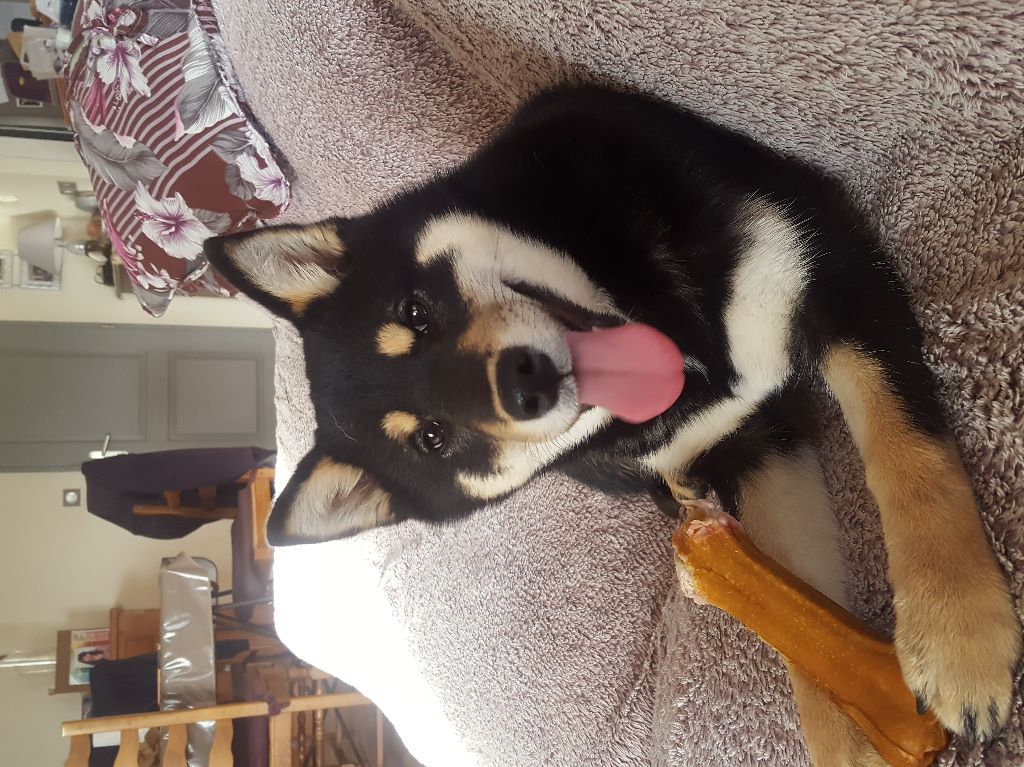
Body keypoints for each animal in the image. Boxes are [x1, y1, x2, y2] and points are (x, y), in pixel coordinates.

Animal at [205, 85, 1021, 765]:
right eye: (435, 439)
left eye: (414, 310)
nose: (524, 383)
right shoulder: (748, 448)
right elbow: (799, 625)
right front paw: (850, 726)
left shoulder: (824, 258)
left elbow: (906, 452)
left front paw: (957, 632)